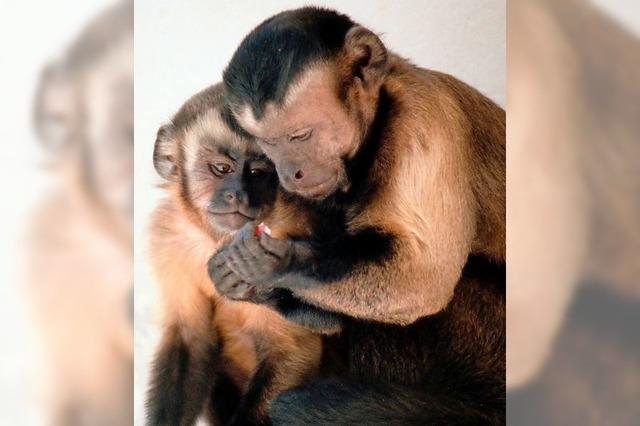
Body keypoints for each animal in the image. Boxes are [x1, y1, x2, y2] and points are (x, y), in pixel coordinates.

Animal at [147, 84, 322, 426]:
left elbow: (293, 349)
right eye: (222, 169)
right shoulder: (167, 237)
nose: (238, 194)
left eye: (257, 172)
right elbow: (189, 338)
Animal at [210, 7, 504, 426]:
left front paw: (274, 264)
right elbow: (331, 319)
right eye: (269, 143)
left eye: (300, 135)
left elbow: (422, 278)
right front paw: (247, 284)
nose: (291, 172)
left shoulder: (422, 122)